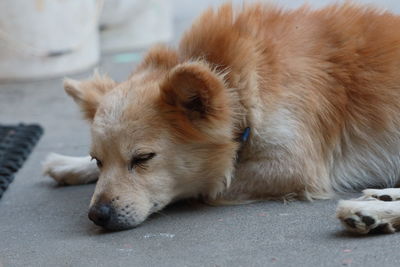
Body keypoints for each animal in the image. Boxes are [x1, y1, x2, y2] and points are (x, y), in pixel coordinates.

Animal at [43, 2, 400, 233]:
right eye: (98, 160)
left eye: (143, 158)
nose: (97, 215)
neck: (233, 81)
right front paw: (69, 164)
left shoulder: (294, 166)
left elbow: (210, 184)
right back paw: (381, 197)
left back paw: (371, 211)